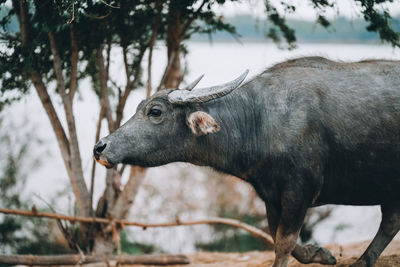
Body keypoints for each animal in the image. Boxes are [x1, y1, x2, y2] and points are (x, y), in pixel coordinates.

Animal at [94, 57, 400, 267]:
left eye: (155, 111)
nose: (100, 147)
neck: (260, 120)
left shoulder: (299, 192)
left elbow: (284, 243)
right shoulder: (271, 195)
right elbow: (278, 236)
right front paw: (320, 253)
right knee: (391, 222)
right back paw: (363, 261)